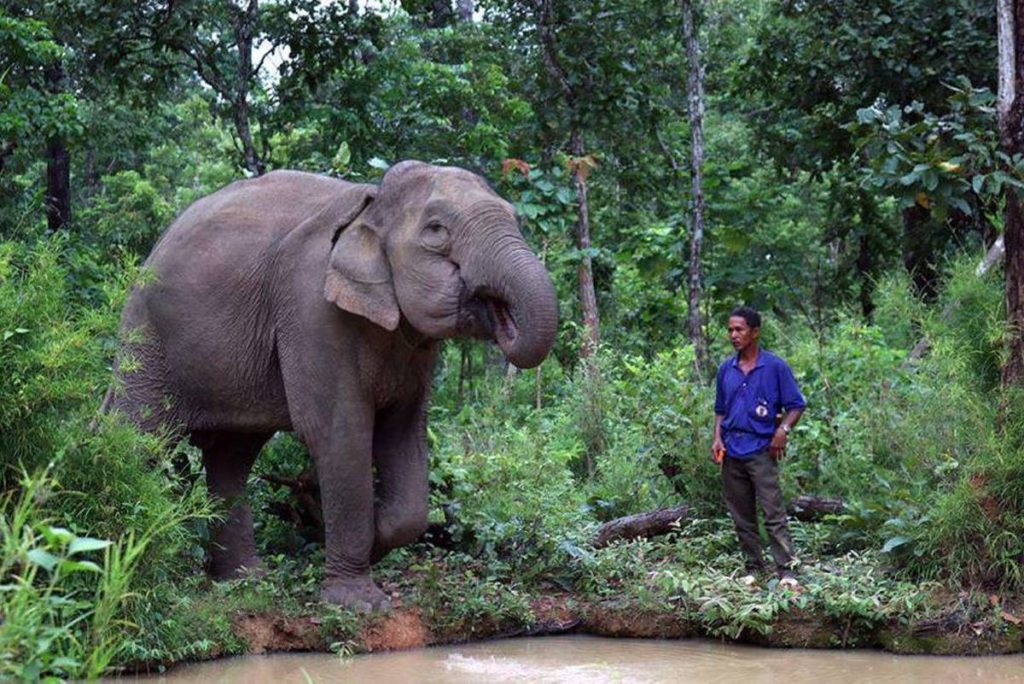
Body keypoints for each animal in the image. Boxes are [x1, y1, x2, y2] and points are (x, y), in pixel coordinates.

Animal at [103, 162, 561, 610]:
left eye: (515, 217)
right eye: (436, 230)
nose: (502, 317)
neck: (371, 208)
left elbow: (403, 437)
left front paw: (371, 539)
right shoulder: (312, 310)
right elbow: (339, 433)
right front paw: (359, 603)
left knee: (231, 457)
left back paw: (246, 580)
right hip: (148, 343)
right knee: (136, 437)